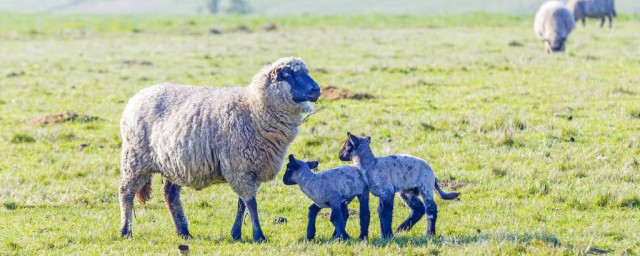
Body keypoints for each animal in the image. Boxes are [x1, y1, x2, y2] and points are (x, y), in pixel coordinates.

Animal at [117, 56, 320, 242]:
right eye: (288, 74)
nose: (316, 89)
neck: (254, 109)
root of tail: (139, 95)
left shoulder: (249, 168)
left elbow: (242, 204)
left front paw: (236, 234)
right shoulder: (239, 166)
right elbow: (251, 203)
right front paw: (259, 236)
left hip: (173, 163)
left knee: (170, 195)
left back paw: (183, 231)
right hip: (135, 158)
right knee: (126, 192)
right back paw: (126, 231)